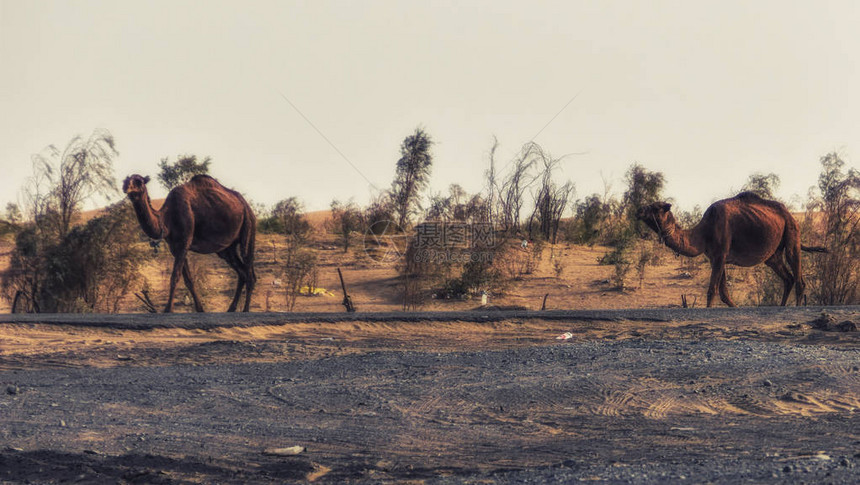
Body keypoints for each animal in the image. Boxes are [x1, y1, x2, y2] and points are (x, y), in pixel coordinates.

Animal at [122, 174, 255, 314]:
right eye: (125, 180)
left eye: (139, 181)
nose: (126, 187)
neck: (166, 219)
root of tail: (246, 205)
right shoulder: (175, 247)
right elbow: (188, 280)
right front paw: (200, 309)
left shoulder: (184, 242)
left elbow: (175, 277)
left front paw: (168, 310)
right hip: (227, 248)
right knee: (241, 272)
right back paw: (231, 309)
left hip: (248, 225)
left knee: (249, 271)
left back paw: (245, 310)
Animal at [640, 190, 828, 306]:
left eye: (655, 207)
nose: (639, 210)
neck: (704, 231)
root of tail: (789, 214)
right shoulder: (715, 257)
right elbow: (724, 293)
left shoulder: (720, 255)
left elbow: (712, 290)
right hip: (773, 255)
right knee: (787, 278)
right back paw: (781, 306)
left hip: (792, 233)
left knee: (798, 278)